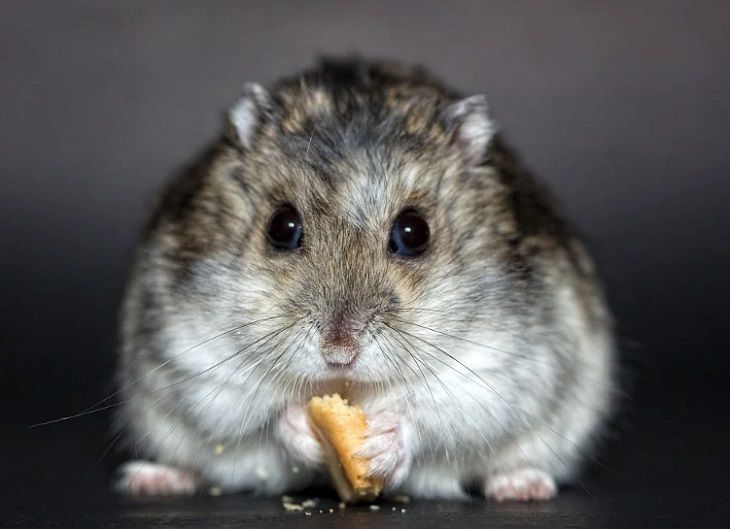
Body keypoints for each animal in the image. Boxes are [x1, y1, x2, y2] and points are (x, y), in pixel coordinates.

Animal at [115, 58, 614, 501]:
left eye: (414, 232)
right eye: (281, 227)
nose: (339, 353)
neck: (350, 388)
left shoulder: (500, 368)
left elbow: (433, 415)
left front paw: (379, 445)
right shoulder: (196, 357)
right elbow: (261, 414)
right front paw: (302, 427)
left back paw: (522, 486)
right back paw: (151, 479)